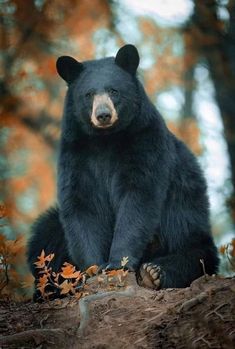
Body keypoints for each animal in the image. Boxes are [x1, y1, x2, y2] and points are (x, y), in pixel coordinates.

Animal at [27, 44, 218, 290]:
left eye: (114, 91)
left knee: (196, 252)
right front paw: (94, 268)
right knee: (45, 235)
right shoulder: (76, 153)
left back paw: (153, 272)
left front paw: (117, 263)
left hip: (186, 218)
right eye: (89, 94)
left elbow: (137, 199)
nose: (103, 115)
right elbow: (82, 204)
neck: (106, 139)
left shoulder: (145, 142)